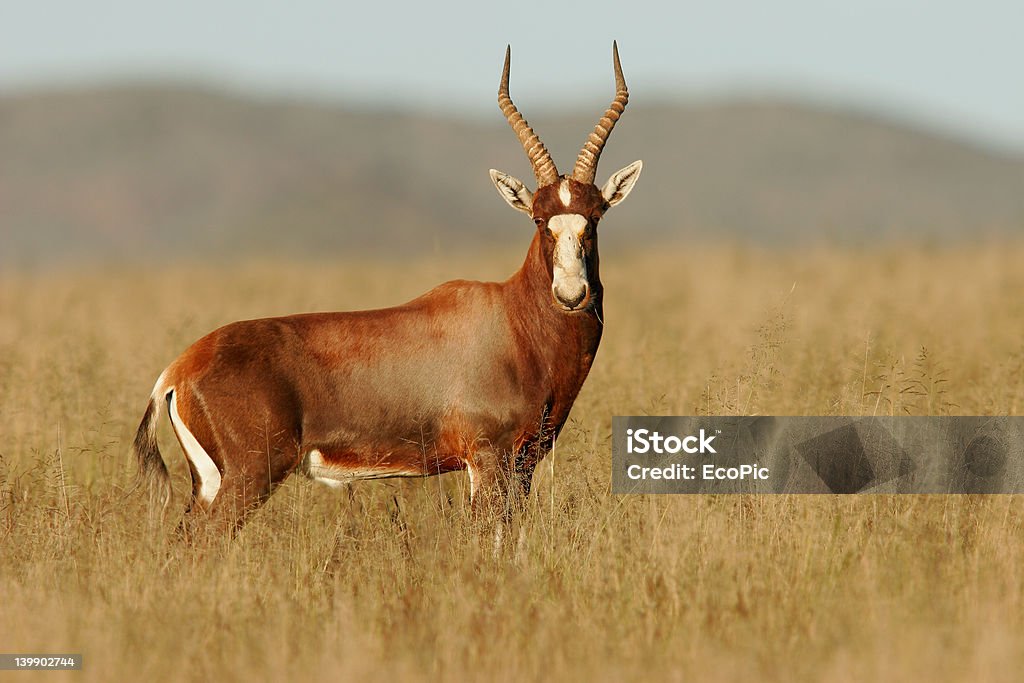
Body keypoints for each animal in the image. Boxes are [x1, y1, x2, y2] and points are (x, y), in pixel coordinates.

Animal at [128, 42, 638, 532]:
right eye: (538, 218)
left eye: (595, 217)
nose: (571, 295)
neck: (512, 320)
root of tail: (176, 371)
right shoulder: (487, 458)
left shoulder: (523, 464)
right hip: (249, 476)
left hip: (210, 484)